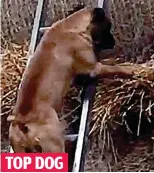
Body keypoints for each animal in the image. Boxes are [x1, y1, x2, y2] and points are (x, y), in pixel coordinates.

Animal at [7, 7, 133, 153]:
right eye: (107, 26)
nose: (113, 42)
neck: (71, 27)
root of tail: (22, 121)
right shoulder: (94, 68)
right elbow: (116, 67)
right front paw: (132, 69)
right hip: (54, 146)